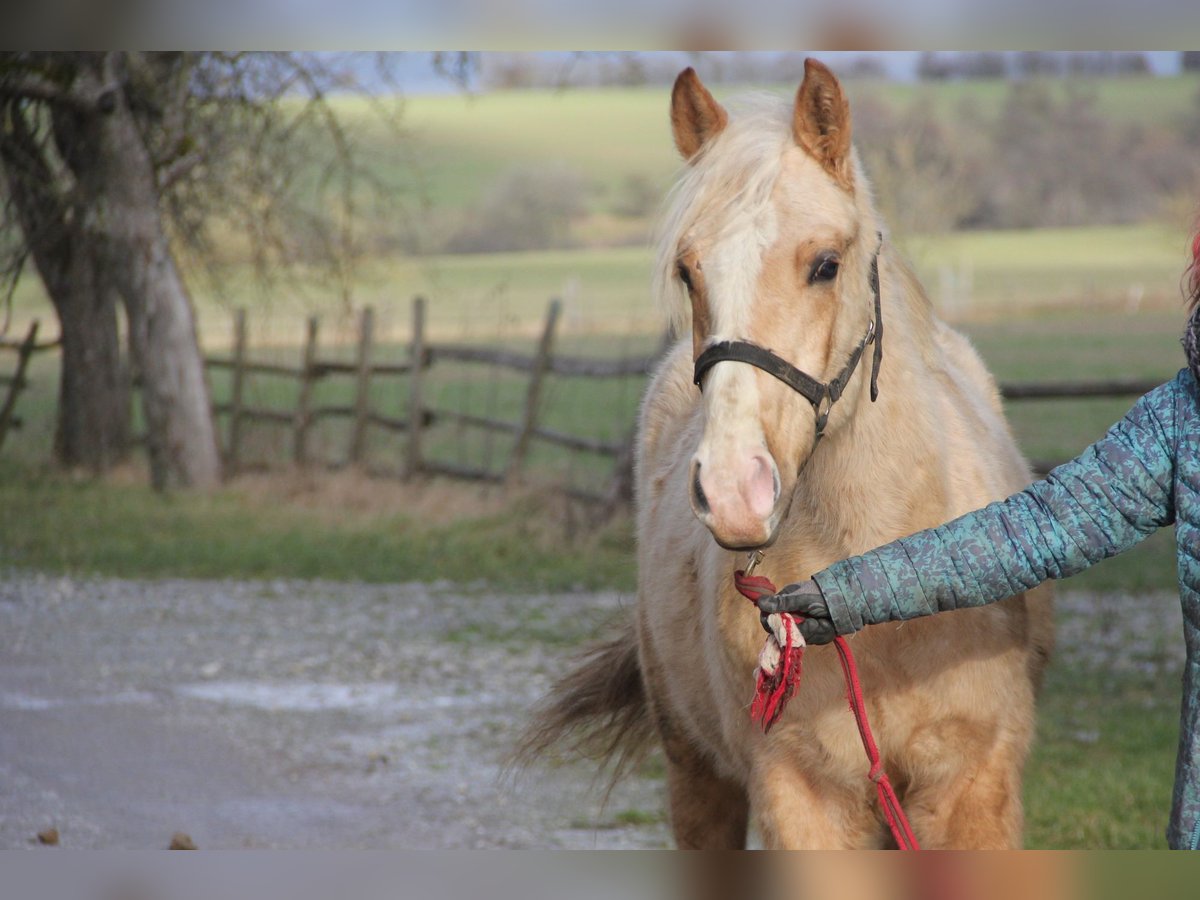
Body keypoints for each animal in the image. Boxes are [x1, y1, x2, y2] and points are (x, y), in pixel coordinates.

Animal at [520, 60, 1056, 849]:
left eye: (826, 265)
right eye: (688, 272)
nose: (733, 492)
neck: (882, 583)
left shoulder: (972, 790)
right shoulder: (801, 793)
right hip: (694, 769)